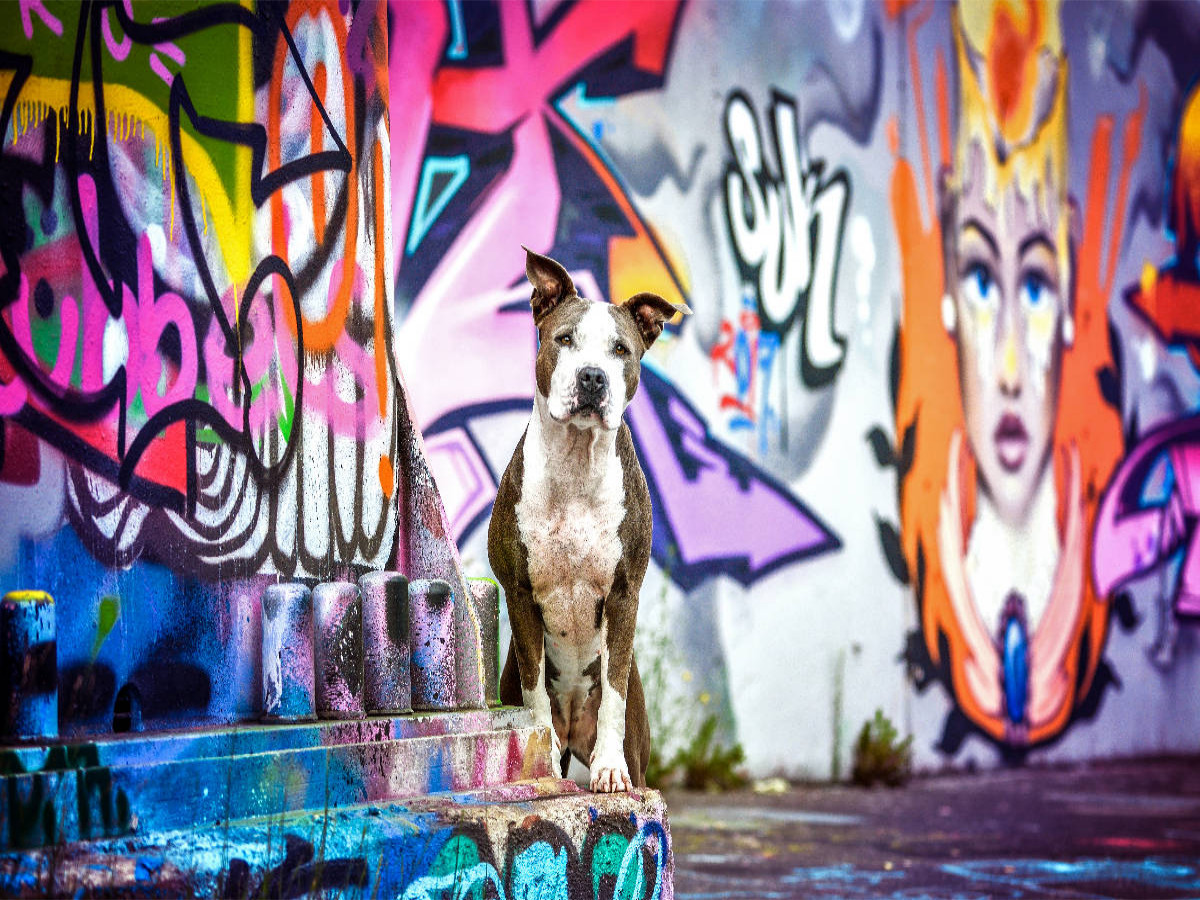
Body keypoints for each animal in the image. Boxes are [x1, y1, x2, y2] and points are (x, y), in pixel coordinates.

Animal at [487, 250, 691, 792]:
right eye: (564, 339)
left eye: (621, 349)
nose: (593, 377)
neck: (577, 465)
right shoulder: (519, 590)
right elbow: (535, 687)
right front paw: (538, 747)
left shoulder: (623, 594)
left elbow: (614, 691)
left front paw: (608, 768)